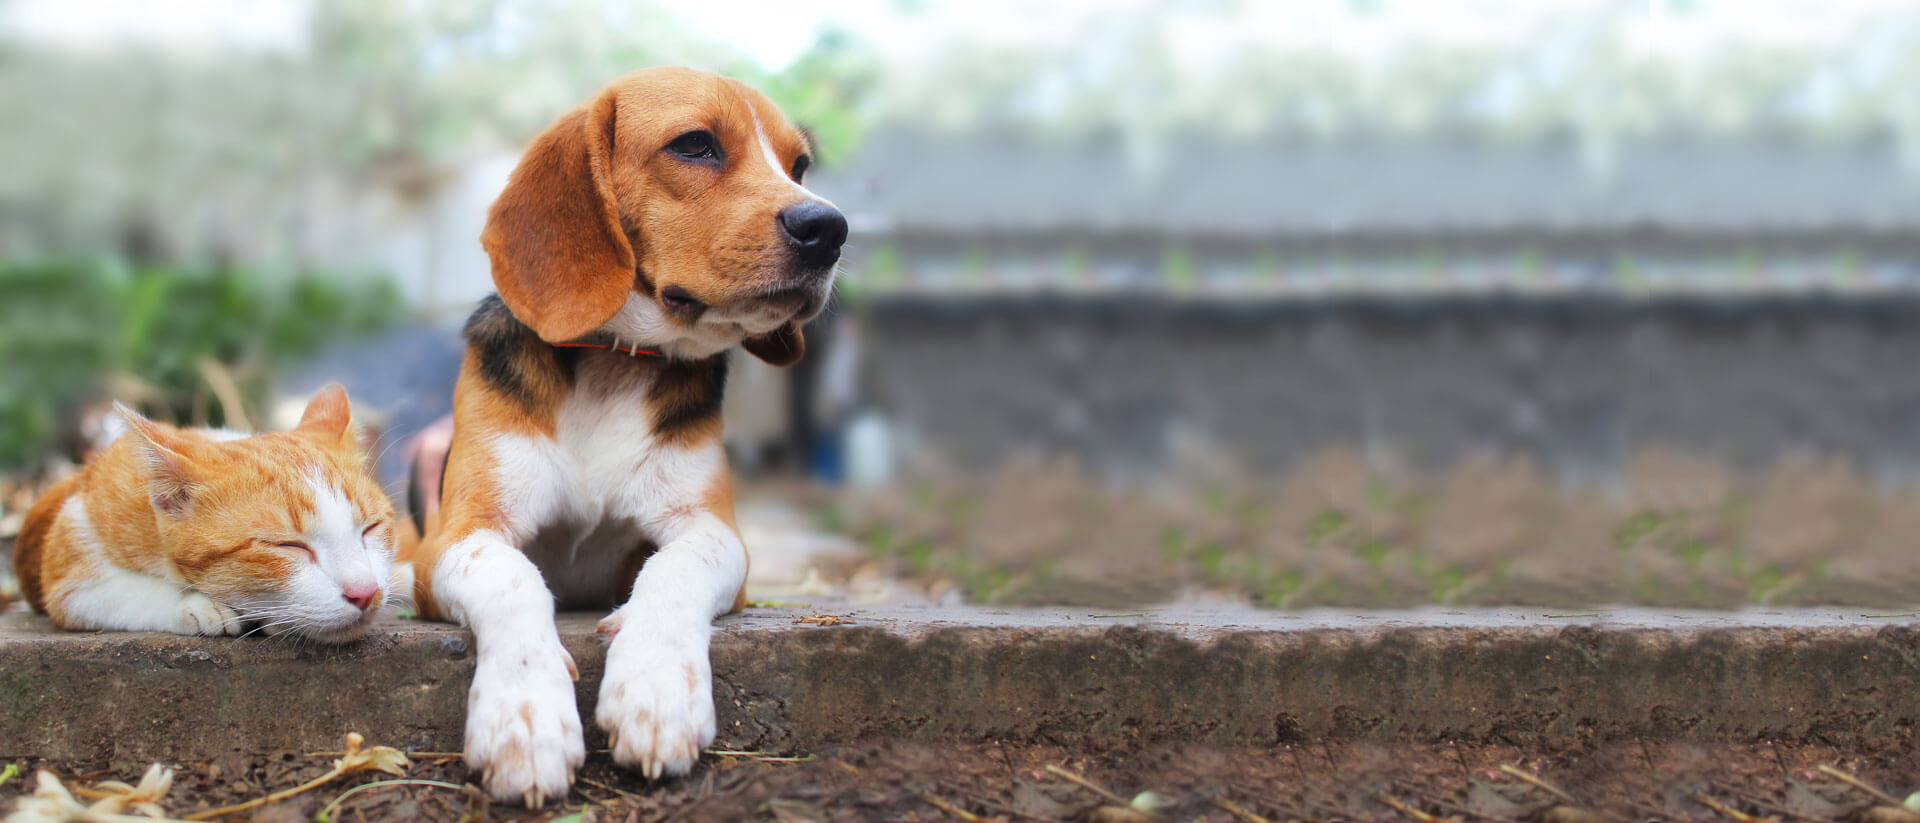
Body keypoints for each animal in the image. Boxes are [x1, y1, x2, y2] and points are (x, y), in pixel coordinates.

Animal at [9, 381, 401, 644]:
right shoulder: (69, 565)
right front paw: (202, 606)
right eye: (288, 546)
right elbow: (123, 592)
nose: (365, 592)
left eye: (371, 528)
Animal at [401, 67, 844, 805]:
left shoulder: (713, 530)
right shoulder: (456, 538)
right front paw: (525, 715)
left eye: (800, 166)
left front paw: (657, 689)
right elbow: (513, 577)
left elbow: (674, 570)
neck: (614, 361)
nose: (830, 228)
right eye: (694, 144)